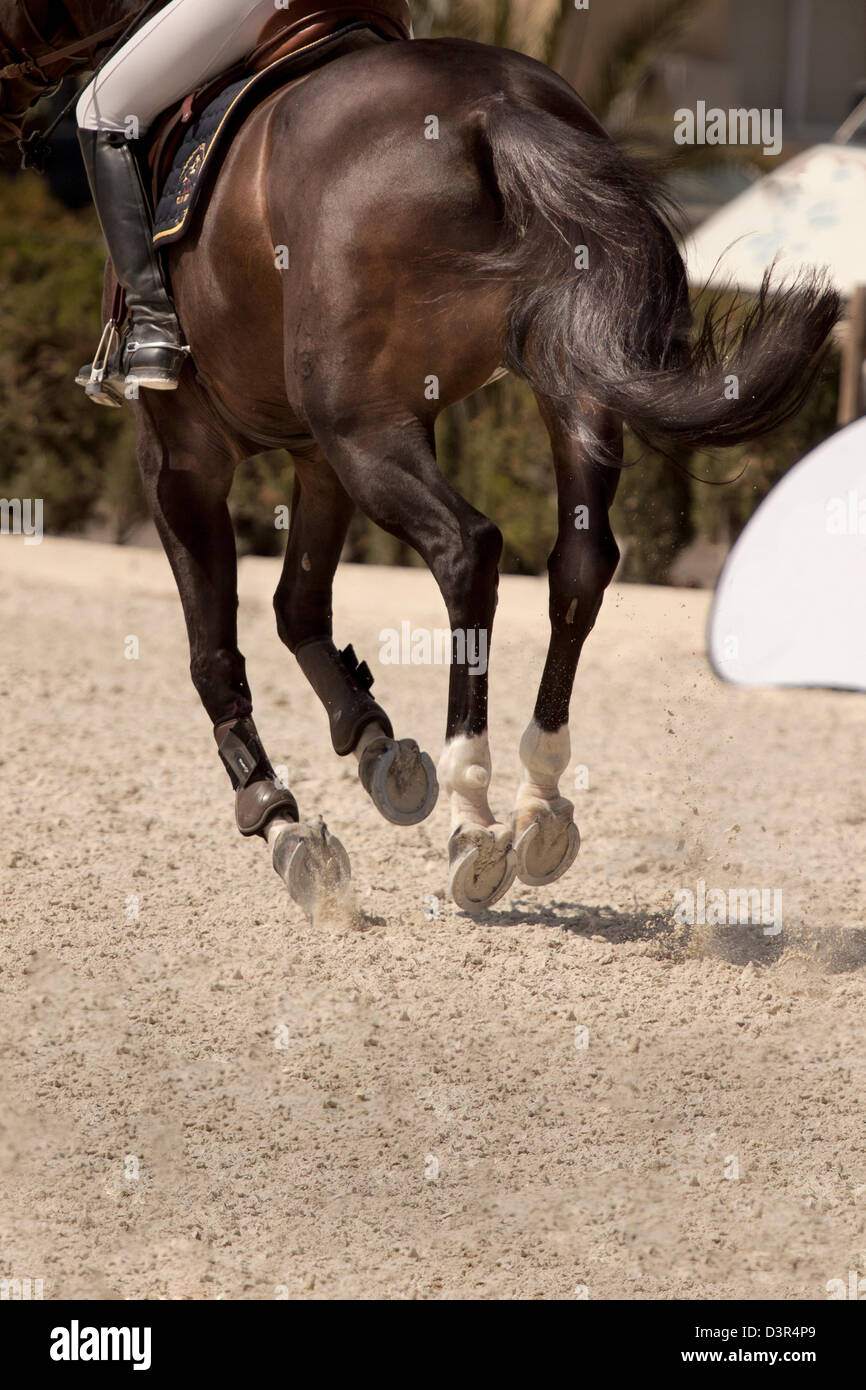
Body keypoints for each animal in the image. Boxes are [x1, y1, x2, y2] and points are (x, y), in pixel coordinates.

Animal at [0, 5, 839, 917]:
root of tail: (493, 108)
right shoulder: (314, 457)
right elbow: (297, 608)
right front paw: (374, 749)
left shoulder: (185, 459)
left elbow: (215, 649)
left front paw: (279, 821)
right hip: (560, 381)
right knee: (580, 561)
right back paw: (540, 806)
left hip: (367, 429)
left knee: (466, 549)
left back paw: (476, 821)